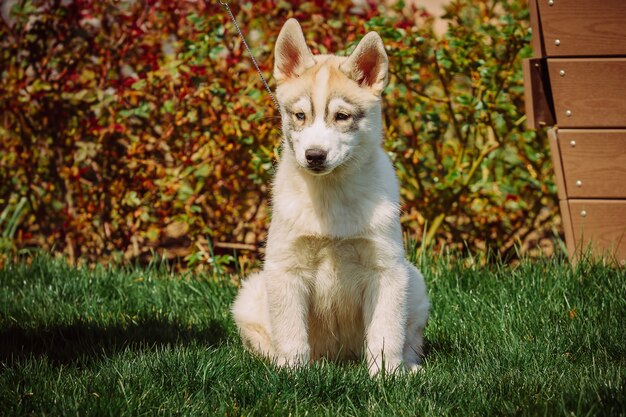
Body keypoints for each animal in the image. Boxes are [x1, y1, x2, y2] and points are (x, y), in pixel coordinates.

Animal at [232, 17, 426, 374]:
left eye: (342, 116)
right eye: (299, 115)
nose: (315, 156)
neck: (331, 195)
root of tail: (341, 359)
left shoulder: (386, 269)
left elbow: (386, 332)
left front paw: (387, 375)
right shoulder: (286, 268)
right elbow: (292, 334)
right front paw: (292, 374)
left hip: (414, 280)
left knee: (409, 338)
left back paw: (410, 367)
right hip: (250, 294)